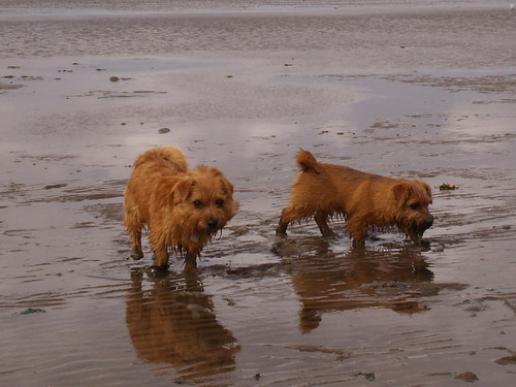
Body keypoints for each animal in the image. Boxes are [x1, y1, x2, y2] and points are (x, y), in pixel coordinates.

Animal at [276, 150, 434, 247]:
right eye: (414, 205)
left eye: (427, 204)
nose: (429, 221)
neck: (382, 198)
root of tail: (314, 166)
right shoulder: (358, 220)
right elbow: (359, 239)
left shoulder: (404, 220)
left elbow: (412, 233)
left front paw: (419, 244)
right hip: (306, 204)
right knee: (286, 212)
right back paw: (280, 233)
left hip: (325, 204)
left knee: (319, 218)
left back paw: (330, 234)